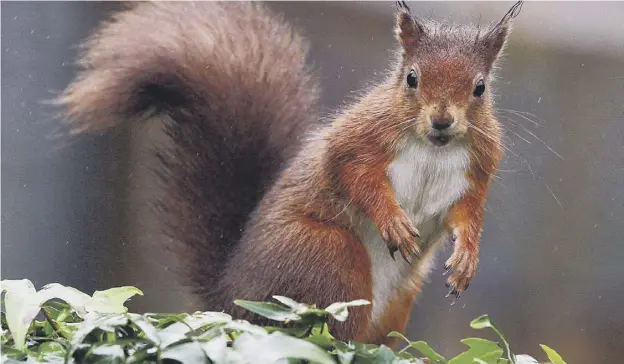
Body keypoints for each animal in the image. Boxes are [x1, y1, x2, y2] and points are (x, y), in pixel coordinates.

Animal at [57, 0, 520, 346]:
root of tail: (229, 299)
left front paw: (466, 259)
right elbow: (357, 177)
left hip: (397, 301)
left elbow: (468, 214)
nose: (442, 121)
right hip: (329, 257)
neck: (433, 149)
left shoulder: (477, 172)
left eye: (480, 88)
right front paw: (393, 222)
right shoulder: (356, 143)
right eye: (411, 78)